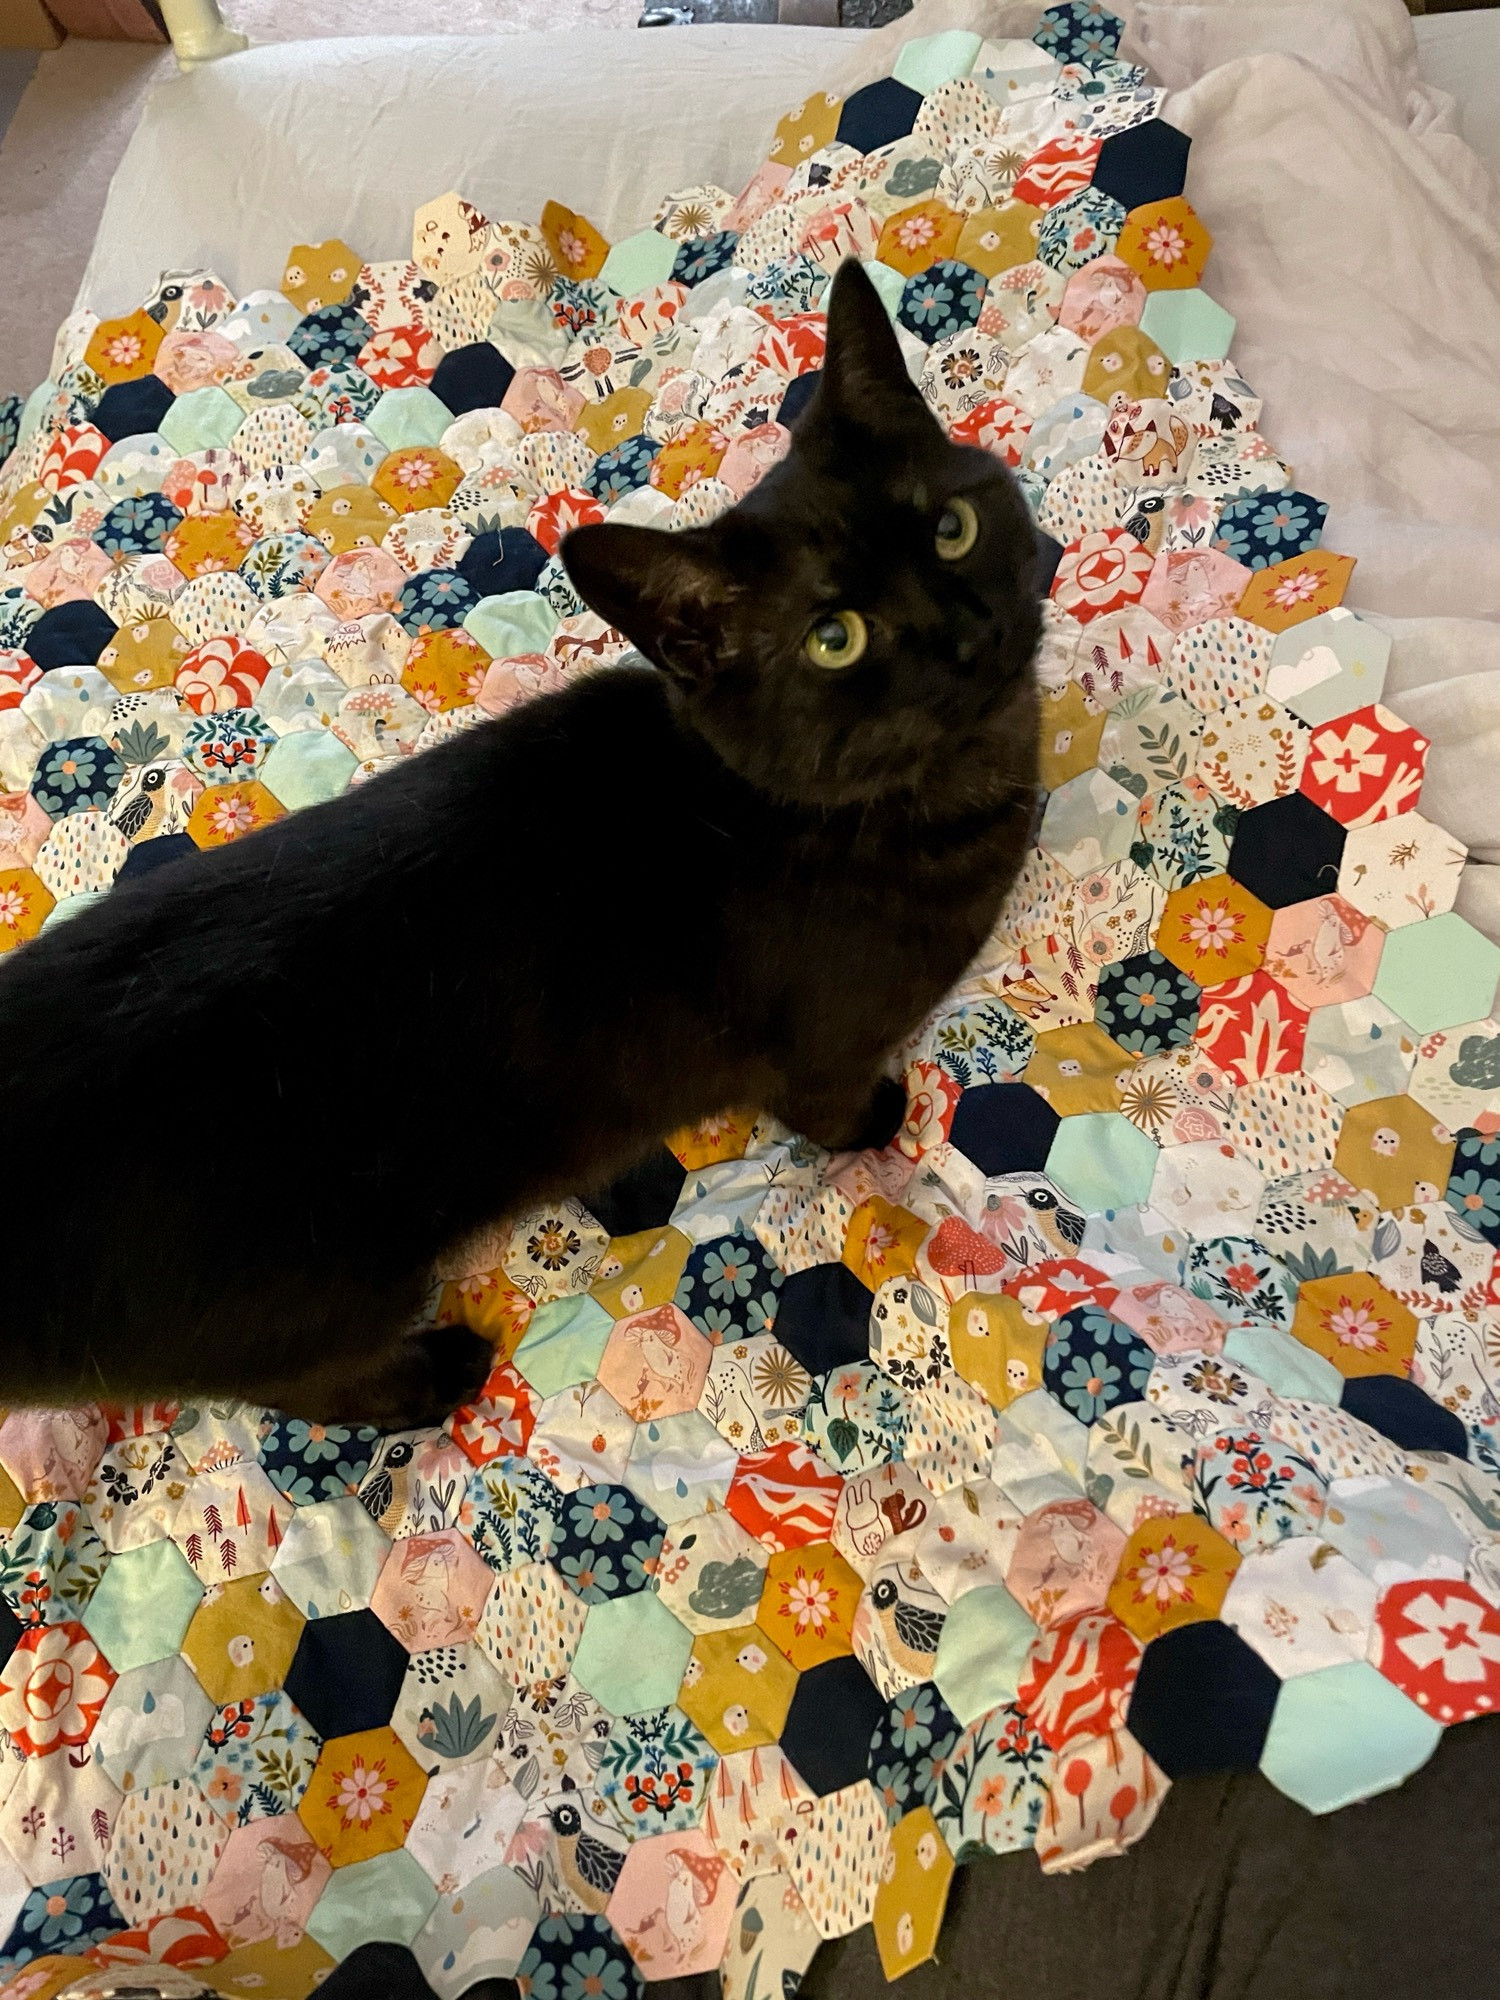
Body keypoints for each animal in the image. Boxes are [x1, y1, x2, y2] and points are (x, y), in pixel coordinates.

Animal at [0, 262, 1040, 1424]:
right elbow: (831, 1106)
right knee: (312, 1386)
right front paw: (880, 1118)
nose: (969, 632)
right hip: (310, 1299)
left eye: (950, 528)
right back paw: (434, 1372)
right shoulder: (820, 1047)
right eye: (835, 638)